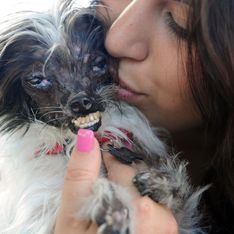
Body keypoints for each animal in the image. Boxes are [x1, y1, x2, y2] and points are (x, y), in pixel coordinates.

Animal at [0, 0, 206, 233]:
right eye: (37, 79)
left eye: (98, 63)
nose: (81, 101)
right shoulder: (39, 212)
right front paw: (108, 205)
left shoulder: (184, 219)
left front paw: (164, 183)